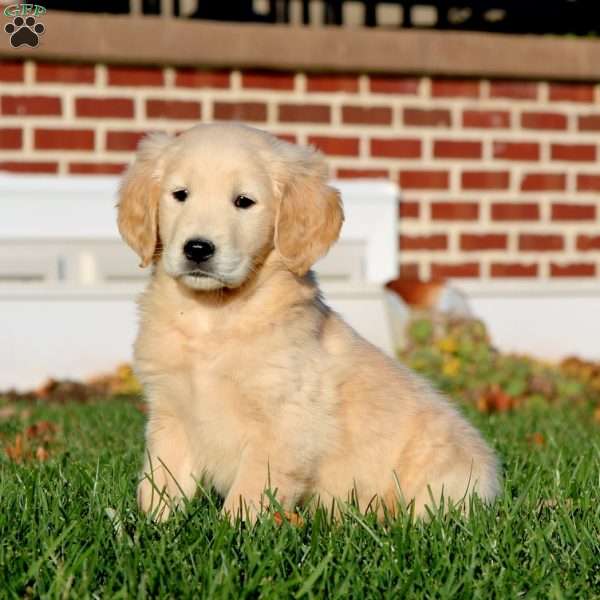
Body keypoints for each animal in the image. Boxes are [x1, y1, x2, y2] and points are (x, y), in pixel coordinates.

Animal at [118, 124, 502, 524]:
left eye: (243, 201)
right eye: (180, 194)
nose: (197, 249)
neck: (214, 316)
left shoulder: (284, 422)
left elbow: (249, 493)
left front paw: (232, 531)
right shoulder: (171, 414)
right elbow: (160, 481)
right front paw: (151, 525)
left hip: (439, 476)